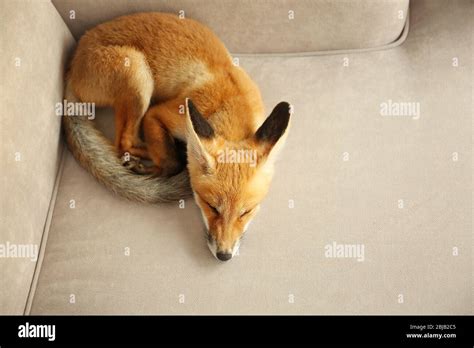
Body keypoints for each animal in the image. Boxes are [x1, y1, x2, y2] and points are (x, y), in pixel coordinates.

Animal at [63, 11, 290, 260]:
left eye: (246, 211)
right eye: (211, 206)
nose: (224, 255)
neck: (230, 105)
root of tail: (72, 64)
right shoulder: (158, 114)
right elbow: (171, 160)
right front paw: (168, 165)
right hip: (138, 75)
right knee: (123, 142)